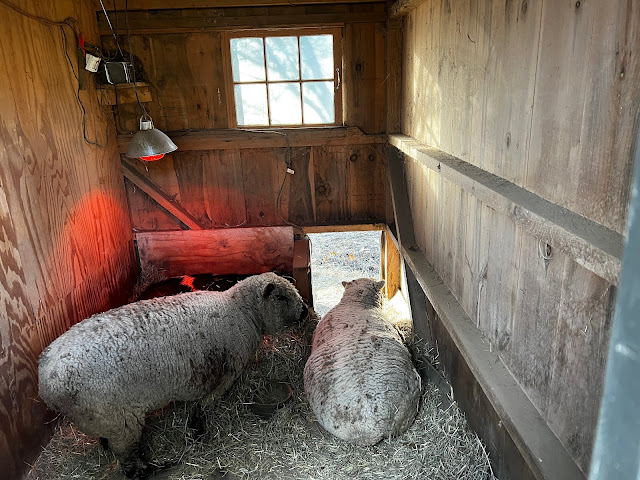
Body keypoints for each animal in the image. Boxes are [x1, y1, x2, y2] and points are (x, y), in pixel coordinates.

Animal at [38, 272, 307, 479]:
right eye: (281, 297)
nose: (305, 311)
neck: (239, 310)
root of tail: (46, 383)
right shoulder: (227, 373)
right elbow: (204, 404)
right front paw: (197, 429)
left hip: (102, 418)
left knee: (110, 443)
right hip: (120, 419)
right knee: (128, 461)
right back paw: (154, 468)